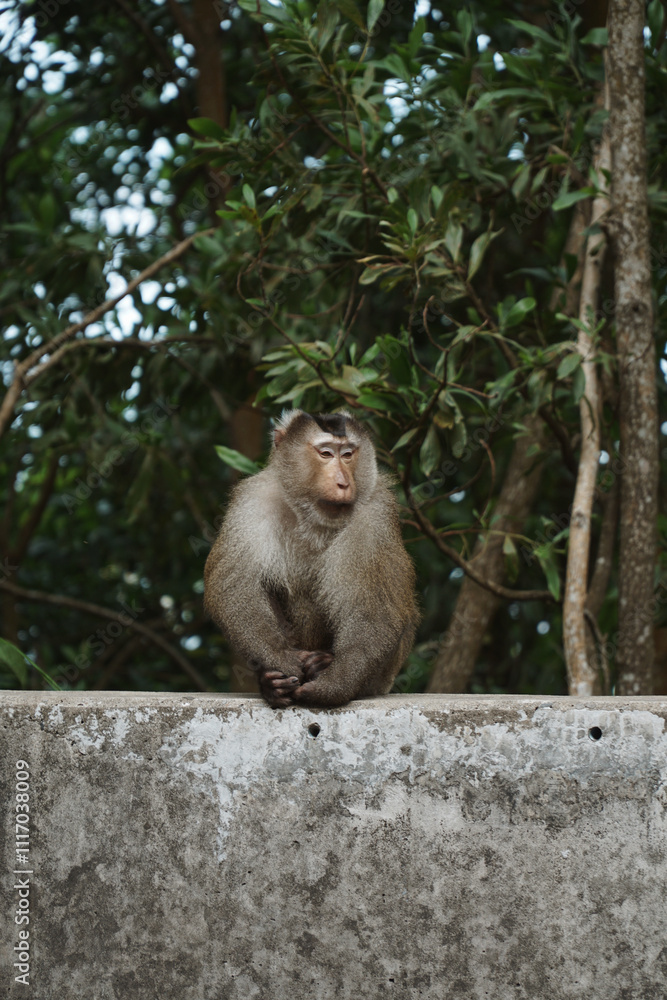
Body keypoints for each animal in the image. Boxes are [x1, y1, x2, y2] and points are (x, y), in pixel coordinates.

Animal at [204, 409, 419, 708]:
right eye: (326, 453)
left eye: (348, 454)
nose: (343, 482)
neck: (313, 519)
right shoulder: (252, 502)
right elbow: (235, 586)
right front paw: (281, 661)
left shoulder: (375, 514)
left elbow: (376, 610)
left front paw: (335, 684)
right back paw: (271, 684)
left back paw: (324, 665)